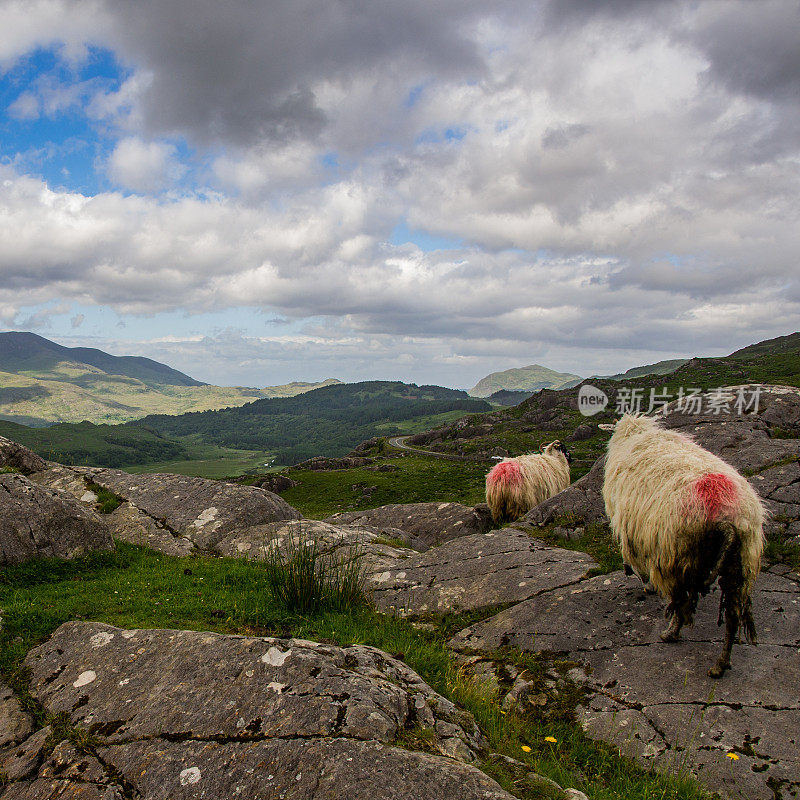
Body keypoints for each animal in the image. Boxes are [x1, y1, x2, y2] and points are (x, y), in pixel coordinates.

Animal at [604, 416, 764, 680]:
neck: (634, 436)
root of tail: (726, 515)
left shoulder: (631, 529)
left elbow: (636, 562)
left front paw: (645, 583)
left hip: (677, 556)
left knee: (681, 602)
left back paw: (670, 633)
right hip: (741, 561)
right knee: (731, 616)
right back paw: (720, 664)